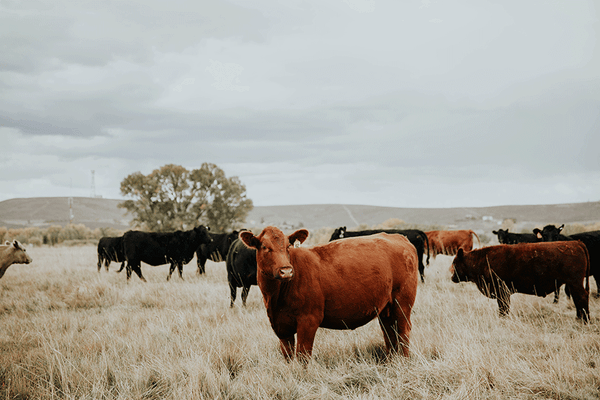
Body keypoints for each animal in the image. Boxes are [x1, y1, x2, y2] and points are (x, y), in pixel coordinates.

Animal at [238, 227, 418, 360]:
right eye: (265, 247)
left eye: (288, 246)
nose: (286, 271)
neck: (275, 298)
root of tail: (398, 237)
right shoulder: (282, 327)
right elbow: (288, 356)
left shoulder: (309, 320)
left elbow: (303, 356)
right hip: (386, 309)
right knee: (389, 333)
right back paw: (391, 361)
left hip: (402, 303)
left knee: (403, 332)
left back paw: (404, 361)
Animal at [452, 241, 588, 322]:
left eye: (454, 263)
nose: (452, 277)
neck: (482, 260)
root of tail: (576, 243)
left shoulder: (502, 293)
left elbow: (503, 308)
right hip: (572, 284)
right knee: (577, 300)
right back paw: (578, 318)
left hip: (575, 283)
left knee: (581, 297)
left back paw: (585, 320)